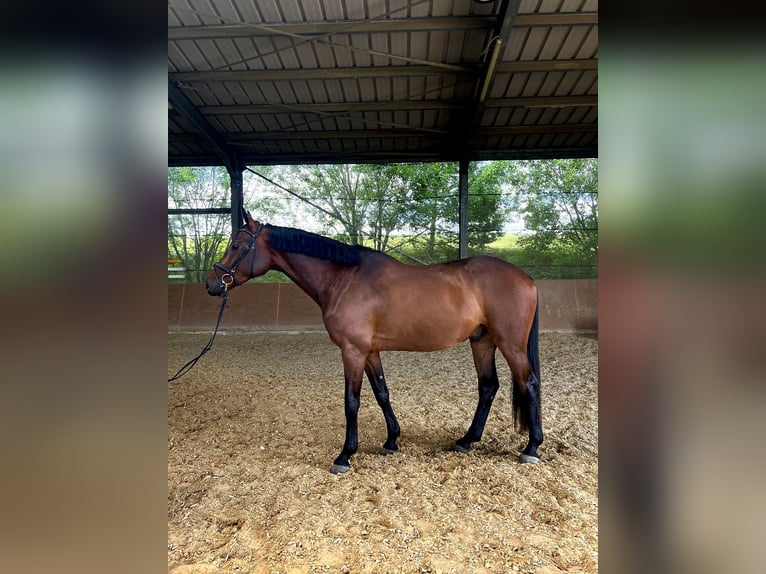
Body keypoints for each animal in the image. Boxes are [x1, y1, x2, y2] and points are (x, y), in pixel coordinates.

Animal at [206, 212, 543, 474]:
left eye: (236, 245)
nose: (212, 283)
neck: (344, 279)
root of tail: (526, 279)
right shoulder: (370, 351)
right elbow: (382, 393)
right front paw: (391, 441)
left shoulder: (352, 351)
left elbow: (351, 402)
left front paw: (345, 455)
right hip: (482, 341)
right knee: (488, 387)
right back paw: (466, 441)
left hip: (510, 345)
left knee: (528, 384)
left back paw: (531, 447)